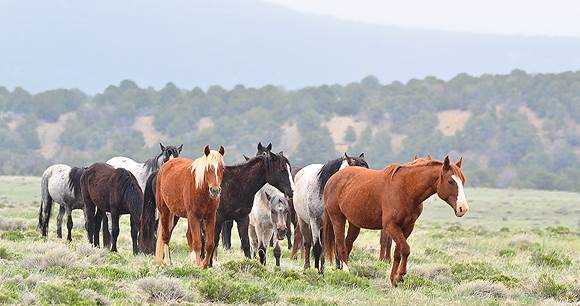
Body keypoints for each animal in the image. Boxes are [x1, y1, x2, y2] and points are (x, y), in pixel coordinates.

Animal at [324, 157, 468, 286]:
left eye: (463, 181)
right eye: (450, 181)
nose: (463, 208)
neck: (406, 189)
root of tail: (333, 179)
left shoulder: (407, 227)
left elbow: (398, 252)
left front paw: (394, 278)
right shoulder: (391, 226)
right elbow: (405, 249)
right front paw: (400, 275)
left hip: (354, 224)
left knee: (347, 244)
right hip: (337, 218)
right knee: (340, 245)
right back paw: (346, 272)